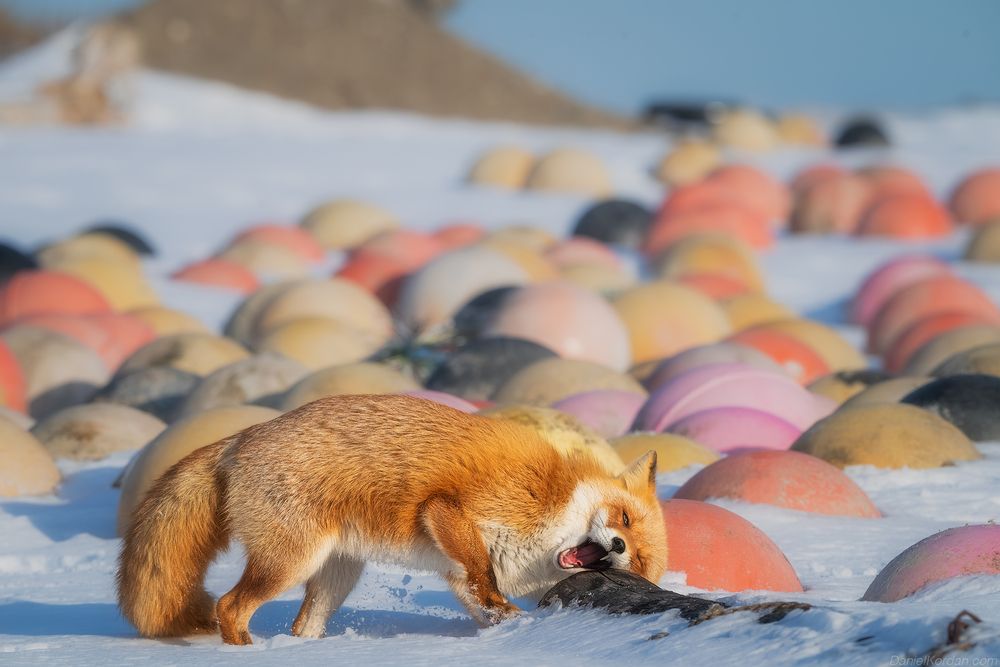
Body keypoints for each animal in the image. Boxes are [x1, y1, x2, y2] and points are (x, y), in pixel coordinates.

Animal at [116, 394, 667, 645]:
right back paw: (247, 653)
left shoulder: (458, 573)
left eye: (639, 560)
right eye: (623, 518)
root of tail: (240, 439)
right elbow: (483, 573)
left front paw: (507, 633)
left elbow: (481, 597)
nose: (618, 547)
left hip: (335, 575)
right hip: (290, 562)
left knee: (300, 625)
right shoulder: (452, 508)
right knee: (229, 607)